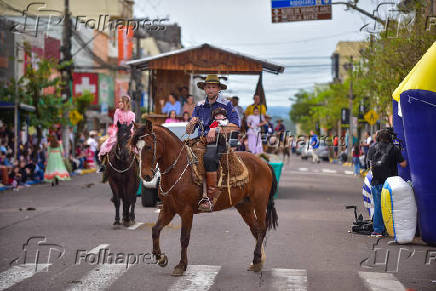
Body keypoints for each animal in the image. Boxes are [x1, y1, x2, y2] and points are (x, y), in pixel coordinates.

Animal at [131, 122, 278, 278]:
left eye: (148, 146)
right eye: (136, 148)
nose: (145, 176)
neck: (178, 169)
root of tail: (263, 163)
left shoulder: (186, 212)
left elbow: (184, 238)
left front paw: (181, 265)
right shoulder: (168, 209)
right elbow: (155, 230)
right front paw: (161, 258)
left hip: (260, 203)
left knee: (261, 228)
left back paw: (257, 259)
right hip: (244, 206)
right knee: (255, 229)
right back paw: (257, 261)